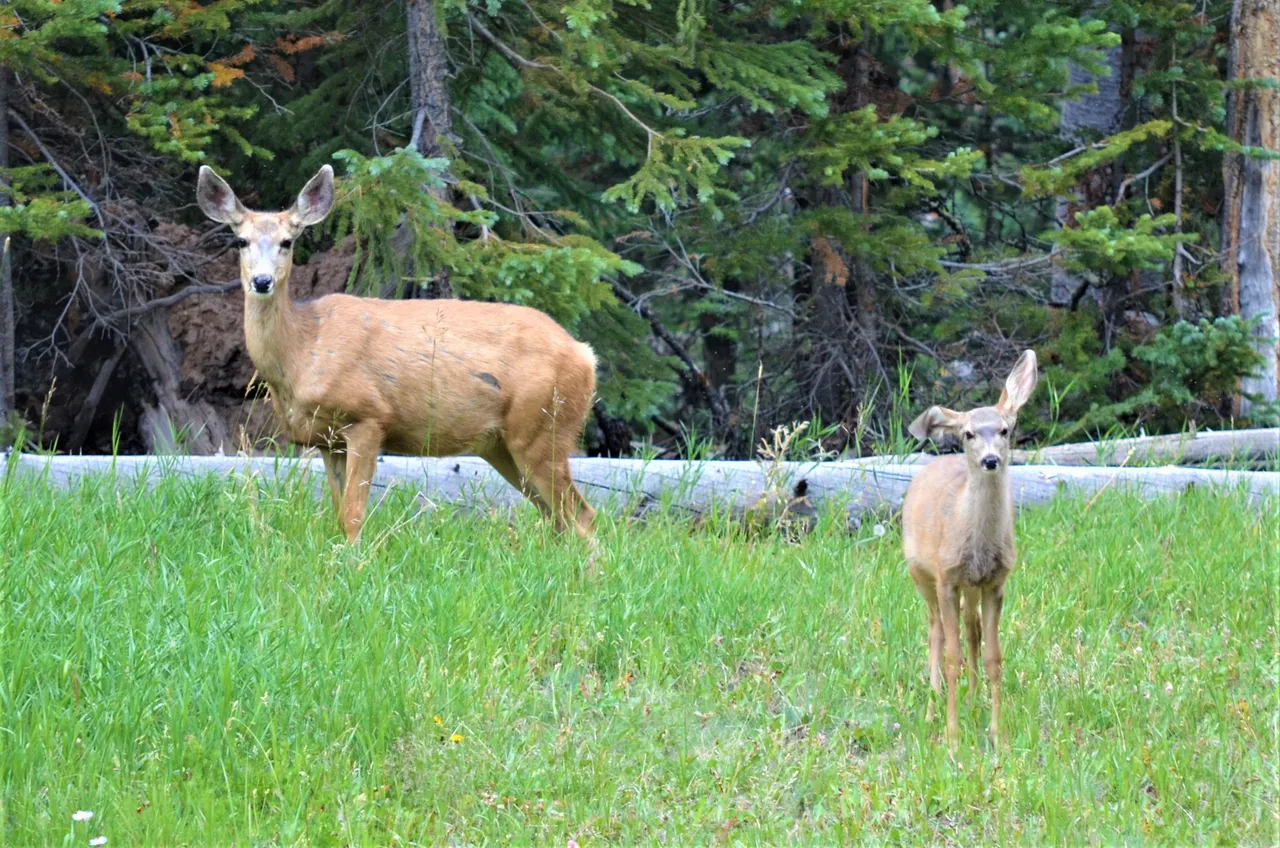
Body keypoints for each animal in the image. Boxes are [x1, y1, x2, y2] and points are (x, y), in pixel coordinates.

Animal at [197, 166, 596, 545]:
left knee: (583, 517)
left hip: (543, 428)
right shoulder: (326, 440)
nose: (262, 281)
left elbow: (353, 516)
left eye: (287, 242)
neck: (302, 350)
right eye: (241, 240)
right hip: (502, 444)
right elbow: (337, 514)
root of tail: (585, 355)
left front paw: (353, 563)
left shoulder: (367, 417)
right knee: (556, 519)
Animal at [901, 348, 1039, 748]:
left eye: (1005, 430)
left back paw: (973, 700)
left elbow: (993, 656)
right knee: (935, 631)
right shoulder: (947, 577)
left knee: (971, 629)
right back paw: (932, 707)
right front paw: (952, 737)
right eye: (968, 433)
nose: (990, 459)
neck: (976, 544)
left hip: (970, 589)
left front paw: (997, 734)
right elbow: (951, 657)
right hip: (920, 574)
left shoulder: (995, 582)